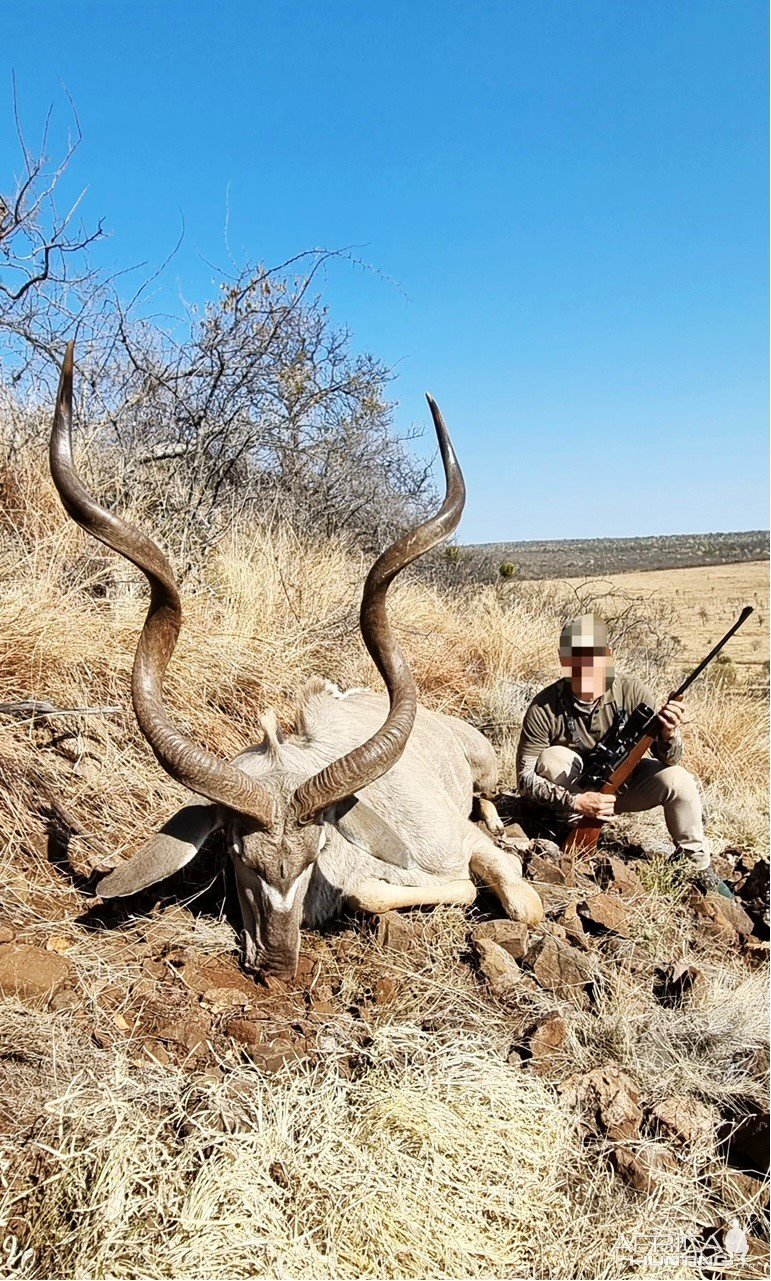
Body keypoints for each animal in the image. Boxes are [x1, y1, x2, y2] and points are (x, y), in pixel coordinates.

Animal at [50, 345, 540, 973]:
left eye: (316, 851)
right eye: (236, 853)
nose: (278, 958)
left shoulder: (462, 846)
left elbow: (514, 899)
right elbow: (369, 891)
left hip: (486, 770)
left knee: (490, 810)